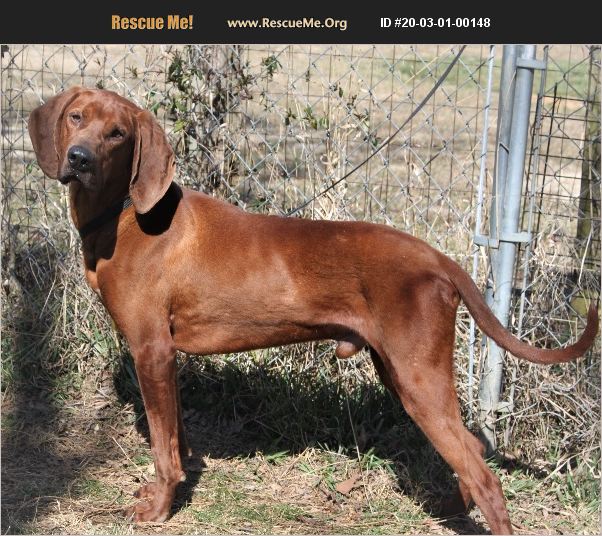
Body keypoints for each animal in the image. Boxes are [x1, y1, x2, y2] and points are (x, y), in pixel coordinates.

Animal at [29, 87, 596, 532]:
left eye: (118, 133)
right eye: (76, 117)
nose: (78, 158)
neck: (124, 215)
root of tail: (438, 258)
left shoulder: (152, 350)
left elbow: (163, 450)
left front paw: (160, 509)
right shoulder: (165, 359)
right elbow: (176, 440)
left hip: (418, 379)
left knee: (486, 476)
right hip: (401, 371)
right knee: (473, 454)